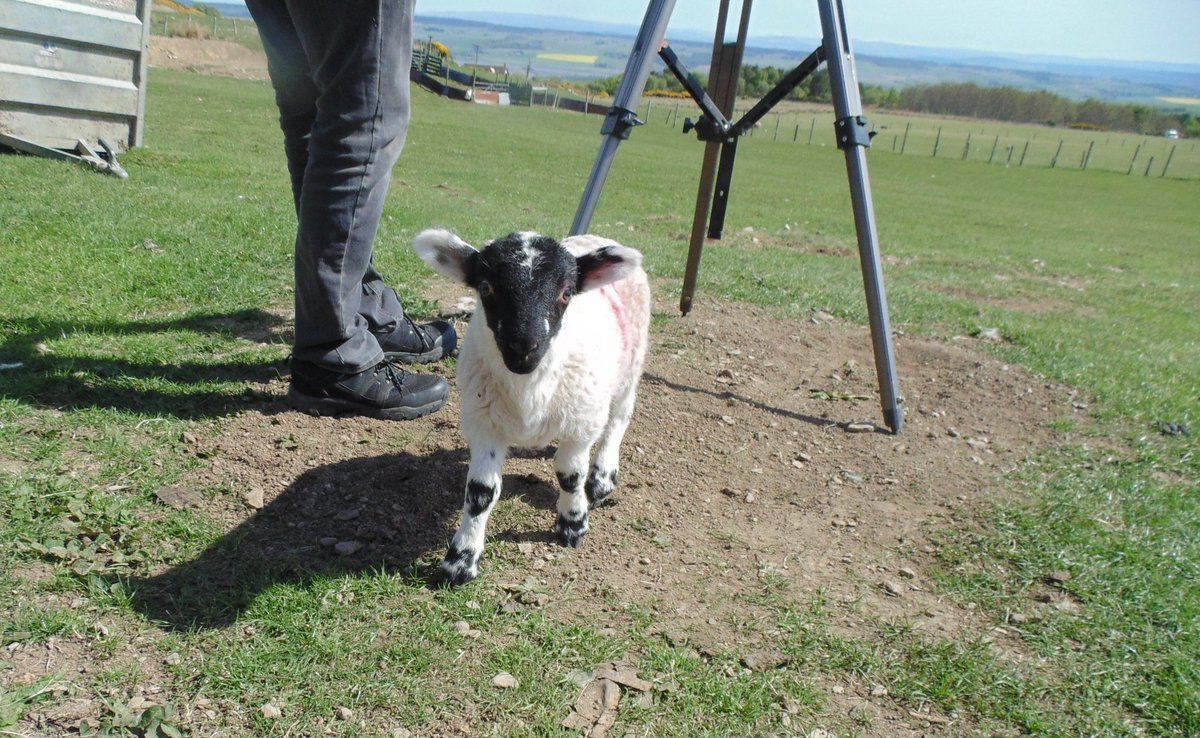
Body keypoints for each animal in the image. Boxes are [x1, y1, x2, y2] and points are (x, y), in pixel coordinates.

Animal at [413, 229, 651, 586]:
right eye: (486, 288)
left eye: (567, 293)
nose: (523, 347)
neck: (528, 389)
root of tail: (595, 235)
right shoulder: (483, 423)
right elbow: (481, 492)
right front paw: (461, 559)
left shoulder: (581, 422)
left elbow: (570, 475)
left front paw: (573, 522)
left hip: (630, 366)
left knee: (618, 419)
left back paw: (603, 476)